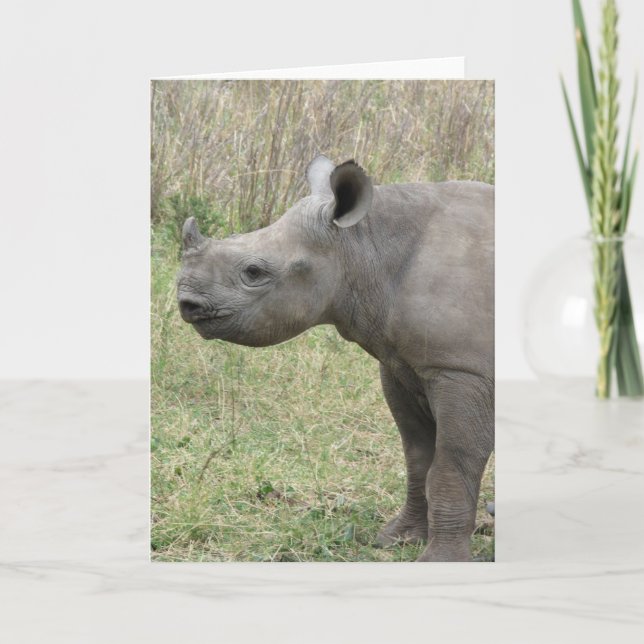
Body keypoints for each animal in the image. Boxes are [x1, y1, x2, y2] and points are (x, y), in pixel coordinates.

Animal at [177, 155, 494, 561]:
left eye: (253, 272)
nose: (186, 303)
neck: (363, 245)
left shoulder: (462, 369)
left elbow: (451, 463)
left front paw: (440, 561)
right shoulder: (400, 365)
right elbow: (417, 456)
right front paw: (397, 540)